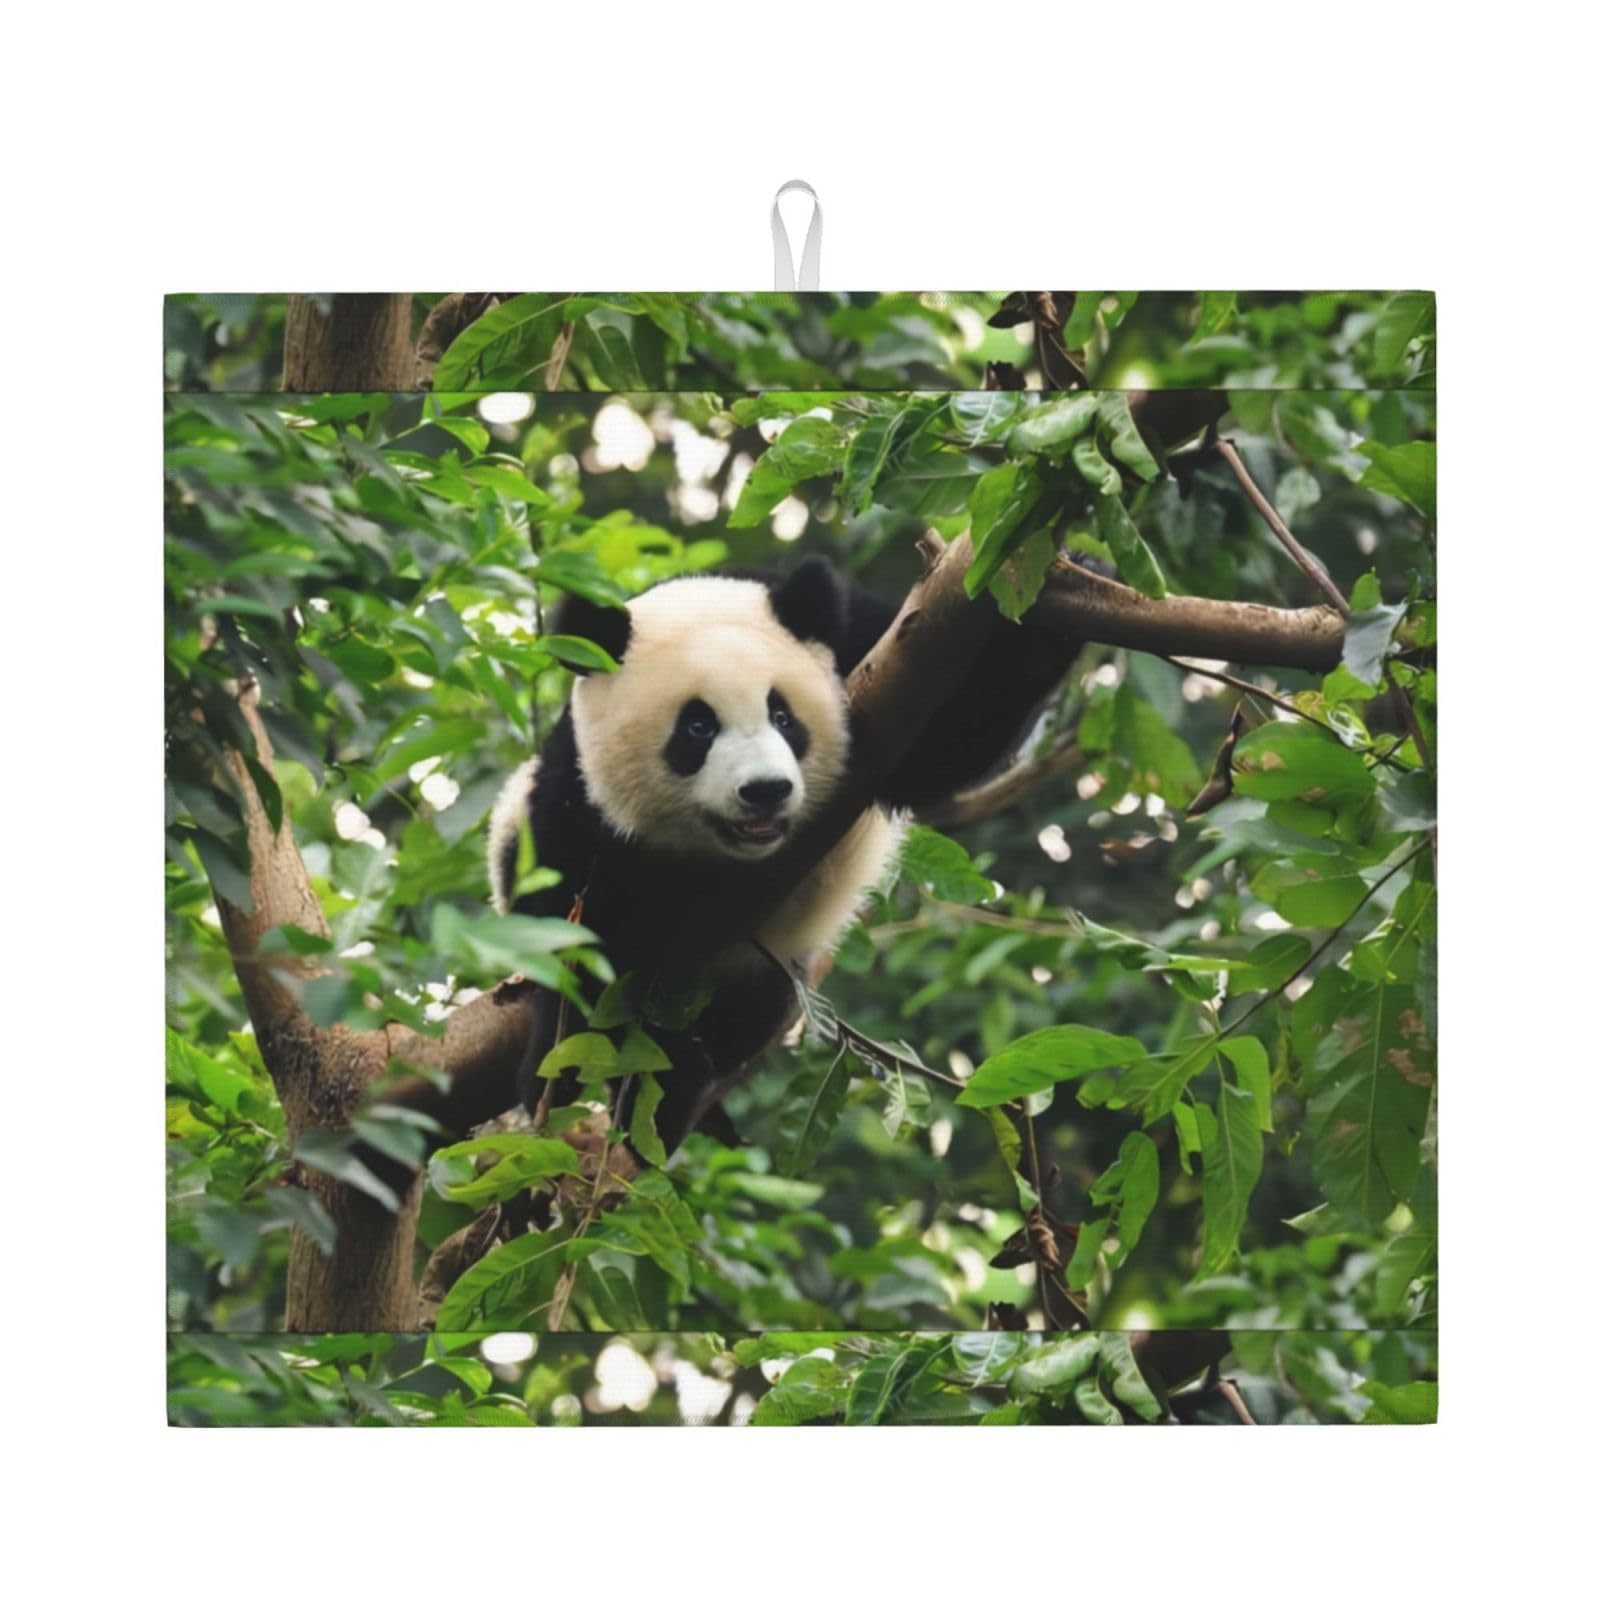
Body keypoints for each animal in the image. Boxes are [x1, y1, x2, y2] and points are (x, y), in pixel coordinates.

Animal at [487, 556, 1077, 1153]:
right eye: (697, 727)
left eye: (783, 716)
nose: (765, 790)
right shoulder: (577, 788)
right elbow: (578, 924)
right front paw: (587, 1068)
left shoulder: (872, 653)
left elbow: (945, 743)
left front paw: (1055, 597)